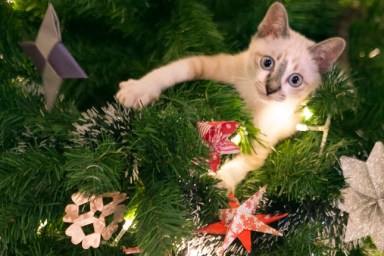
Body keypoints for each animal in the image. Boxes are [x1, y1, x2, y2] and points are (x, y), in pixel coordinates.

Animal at [116, 2, 344, 192]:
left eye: (295, 80)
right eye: (267, 63)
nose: (270, 89)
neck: (253, 100)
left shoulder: (269, 132)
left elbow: (250, 158)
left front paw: (221, 180)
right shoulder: (219, 65)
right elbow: (177, 68)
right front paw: (138, 89)